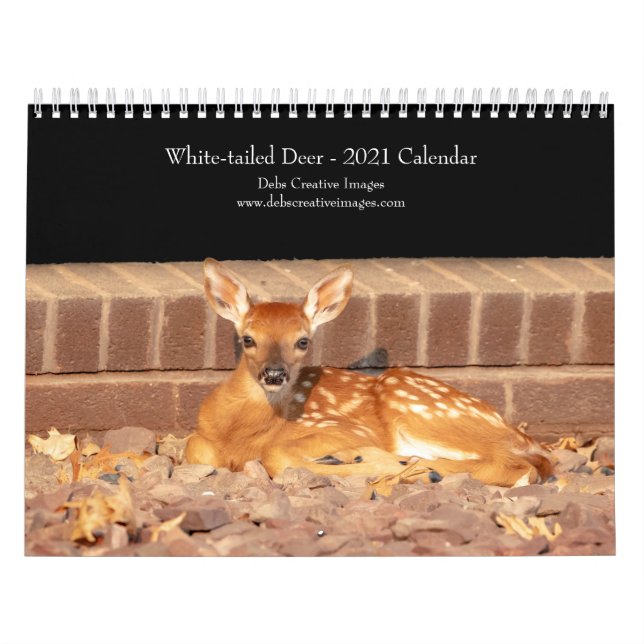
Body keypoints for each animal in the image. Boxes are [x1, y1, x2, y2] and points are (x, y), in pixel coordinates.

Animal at [185, 259, 552, 487]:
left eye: (303, 341)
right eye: (248, 338)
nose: (274, 374)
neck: (238, 436)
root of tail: (517, 434)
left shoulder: (343, 426)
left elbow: (276, 453)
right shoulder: (201, 439)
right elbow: (193, 448)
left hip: (420, 408)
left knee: (514, 465)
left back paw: (413, 468)